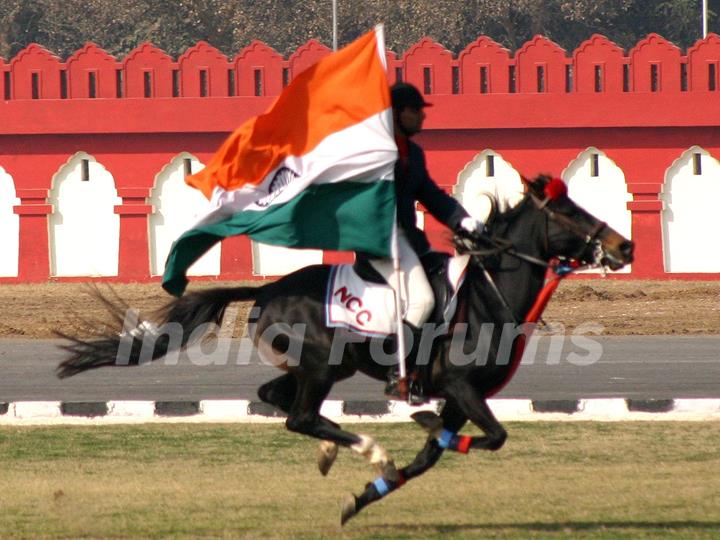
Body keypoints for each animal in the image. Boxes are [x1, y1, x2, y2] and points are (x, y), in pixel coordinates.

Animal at [57, 176, 632, 524]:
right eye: (568, 211)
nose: (623, 246)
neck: (489, 293)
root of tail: (268, 289)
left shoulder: (460, 399)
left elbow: (433, 455)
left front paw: (368, 494)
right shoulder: (460, 387)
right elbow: (492, 437)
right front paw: (404, 443)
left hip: (307, 369)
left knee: (278, 398)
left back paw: (338, 451)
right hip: (322, 367)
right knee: (300, 416)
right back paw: (364, 447)